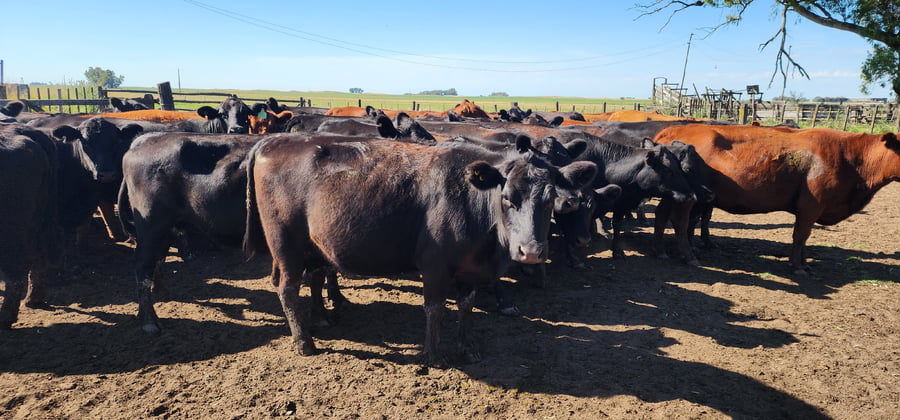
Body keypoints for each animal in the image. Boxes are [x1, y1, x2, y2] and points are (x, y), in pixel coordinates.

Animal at [0, 124, 61, 328]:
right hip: (37, 221)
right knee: (38, 257)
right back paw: (34, 299)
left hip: (10, 230)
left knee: (16, 271)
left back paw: (5, 318)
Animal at [243, 135, 598, 364]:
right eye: (508, 197)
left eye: (550, 198)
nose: (532, 251)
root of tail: (272, 142)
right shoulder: (435, 266)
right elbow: (435, 308)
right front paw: (433, 355)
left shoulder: (469, 269)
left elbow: (466, 306)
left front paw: (467, 347)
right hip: (285, 245)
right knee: (288, 288)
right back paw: (304, 342)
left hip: (313, 246)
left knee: (314, 276)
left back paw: (320, 319)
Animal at [654, 125, 900, 274]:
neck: (848, 157)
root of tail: (674, 128)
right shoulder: (811, 206)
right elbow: (800, 236)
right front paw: (797, 266)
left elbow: (804, 238)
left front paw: (804, 263)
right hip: (688, 199)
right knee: (680, 222)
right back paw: (688, 256)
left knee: (661, 213)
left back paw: (662, 252)